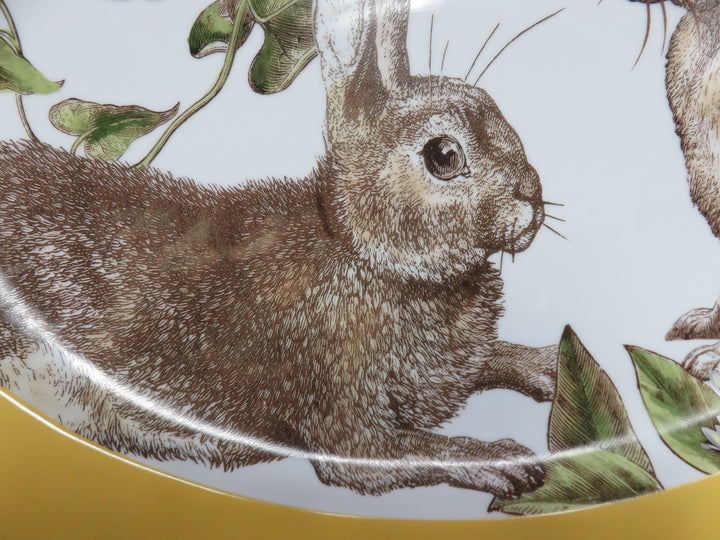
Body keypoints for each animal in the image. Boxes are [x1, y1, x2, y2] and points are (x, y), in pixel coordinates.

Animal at [0, 0, 557, 498]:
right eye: (443, 155)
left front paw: (547, 365)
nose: (532, 200)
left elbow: (491, 358)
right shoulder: (346, 419)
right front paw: (504, 460)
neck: (361, 252)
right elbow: (409, 452)